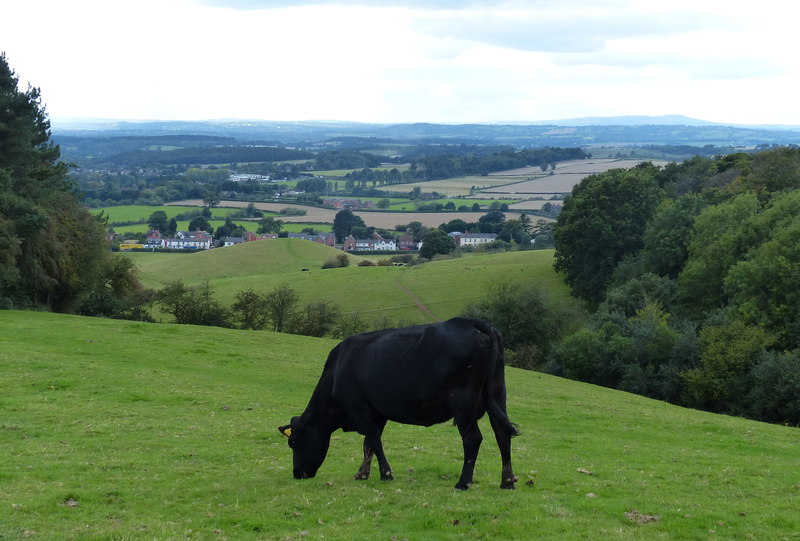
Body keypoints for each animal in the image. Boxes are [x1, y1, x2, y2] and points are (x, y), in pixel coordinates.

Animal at [280, 316, 520, 490]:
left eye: (294, 442)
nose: (297, 473)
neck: (337, 370)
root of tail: (472, 322)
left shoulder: (359, 409)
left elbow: (374, 441)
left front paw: (386, 474)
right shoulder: (377, 413)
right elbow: (368, 444)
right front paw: (362, 473)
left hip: (463, 405)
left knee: (473, 439)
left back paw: (463, 482)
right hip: (498, 395)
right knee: (502, 435)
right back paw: (507, 482)